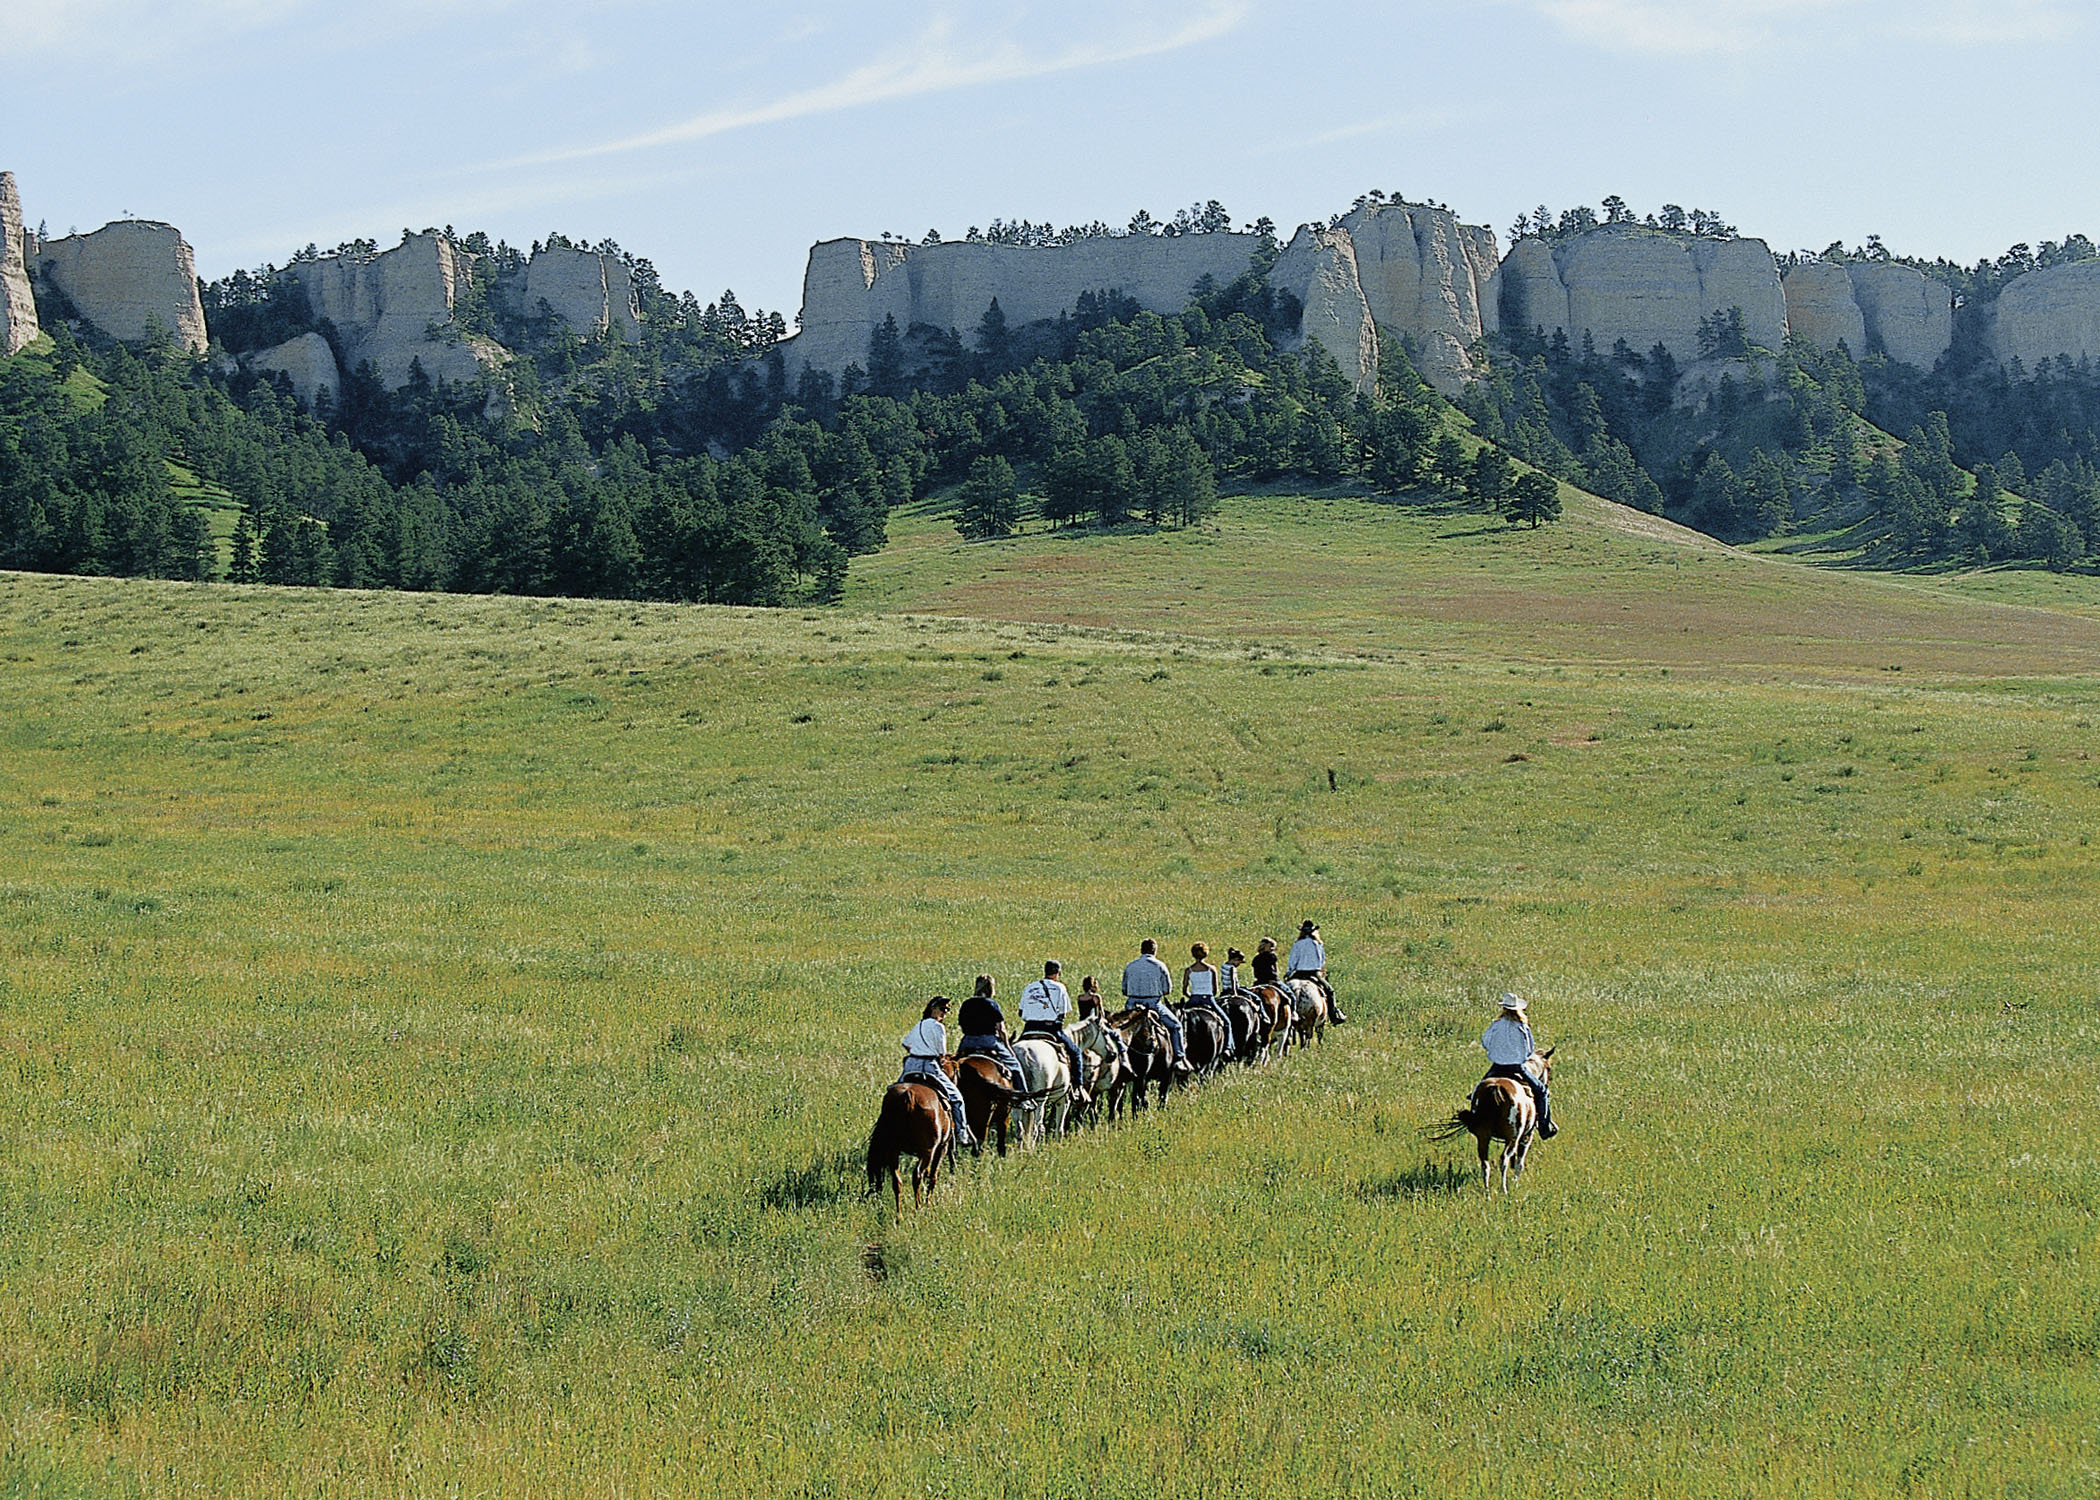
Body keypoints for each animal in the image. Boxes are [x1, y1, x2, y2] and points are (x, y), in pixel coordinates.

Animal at [865, 1075, 957, 1218]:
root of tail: (908, 1096)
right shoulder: (942, 1148)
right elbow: (933, 1177)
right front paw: (929, 1205)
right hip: (927, 1152)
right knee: (917, 1176)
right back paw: (918, 1208)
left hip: (893, 1151)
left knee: (897, 1182)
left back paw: (899, 1216)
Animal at [1427, 1046, 1562, 1184]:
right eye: (1549, 1068)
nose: (1548, 1084)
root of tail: (1495, 1088)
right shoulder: (1526, 1136)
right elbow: (1519, 1163)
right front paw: (1515, 1181)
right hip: (1512, 1138)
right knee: (1503, 1160)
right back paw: (1504, 1188)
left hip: (1483, 1137)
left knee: (1485, 1164)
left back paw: (1487, 1189)